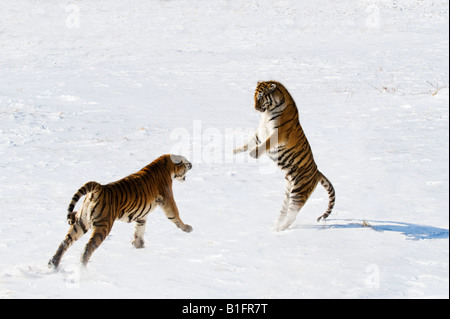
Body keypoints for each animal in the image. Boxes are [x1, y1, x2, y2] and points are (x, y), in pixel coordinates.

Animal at [49, 154, 193, 268]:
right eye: (185, 161)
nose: (191, 164)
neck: (167, 166)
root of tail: (98, 188)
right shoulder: (168, 199)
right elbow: (175, 215)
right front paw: (187, 228)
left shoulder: (142, 215)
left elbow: (139, 229)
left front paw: (139, 246)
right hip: (103, 226)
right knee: (88, 247)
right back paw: (82, 268)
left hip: (80, 223)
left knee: (64, 242)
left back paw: (53, 264)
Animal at [236, 79, 334, 230]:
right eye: (254, 97)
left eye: (260, 97)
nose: (255, 108)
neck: (267, 113)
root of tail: (317, 172)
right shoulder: (260, 133)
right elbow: (249, 143)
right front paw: (234, 151)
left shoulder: (277, 134)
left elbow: (265, 144)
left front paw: (253, 153)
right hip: (289, 191)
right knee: (284, 211)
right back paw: (275, 225)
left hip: (298, 192)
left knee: (292, 215)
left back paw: (279, 229)